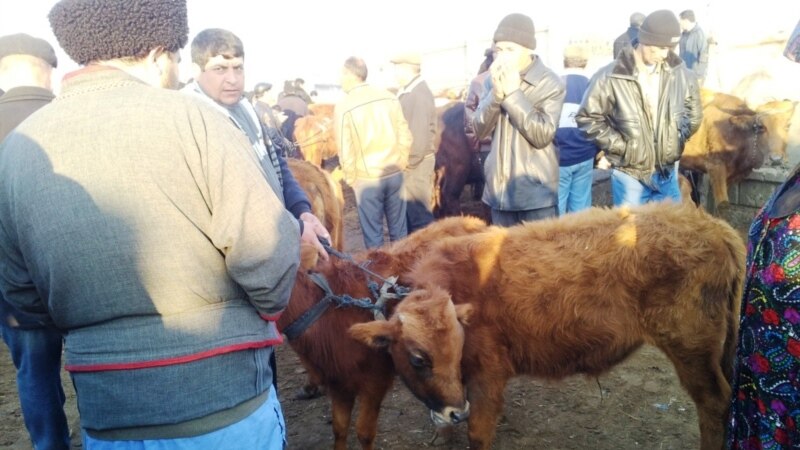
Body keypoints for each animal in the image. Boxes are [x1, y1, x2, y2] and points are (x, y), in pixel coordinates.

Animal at [354, 203, 748, 450]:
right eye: (419, 358)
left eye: (457, 346)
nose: (454, 411)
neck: (455, 279)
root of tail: (713, 226)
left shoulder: (487, 376)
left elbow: (478, 432)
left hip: (692, 350)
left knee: (714, 403)